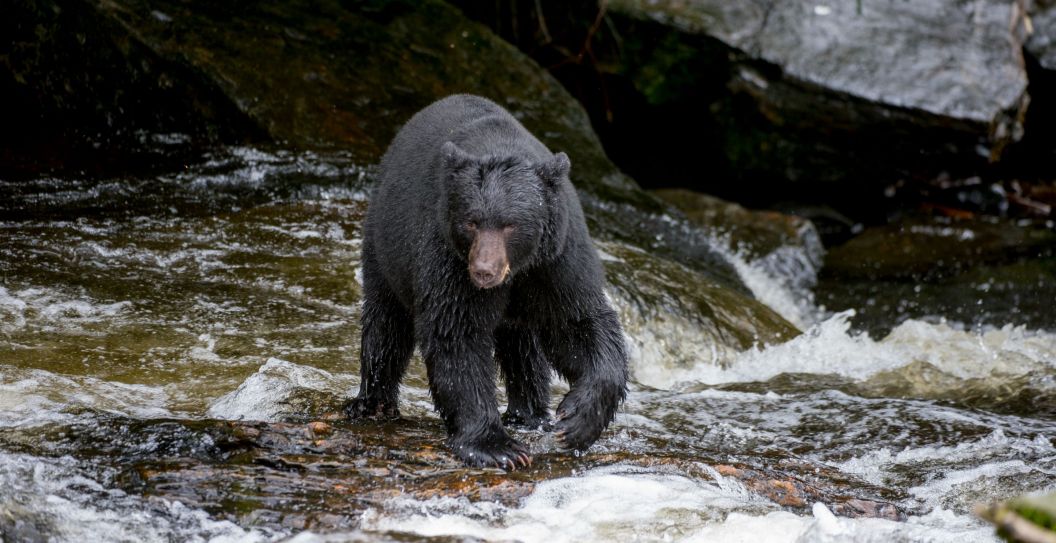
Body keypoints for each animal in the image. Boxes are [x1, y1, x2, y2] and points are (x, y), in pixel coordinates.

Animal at [346, 94, 628, 469]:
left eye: (510, 224)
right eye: (472, 222)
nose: (483, 271)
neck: (518, 268)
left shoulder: (557, 257)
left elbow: (577, 321)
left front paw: (577, 420)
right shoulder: (446, 253)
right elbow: (456, 332)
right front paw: (496, 446)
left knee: (523, 346)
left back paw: (530, 414)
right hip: (386, 244)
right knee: (386, 324)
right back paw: (372, 403)